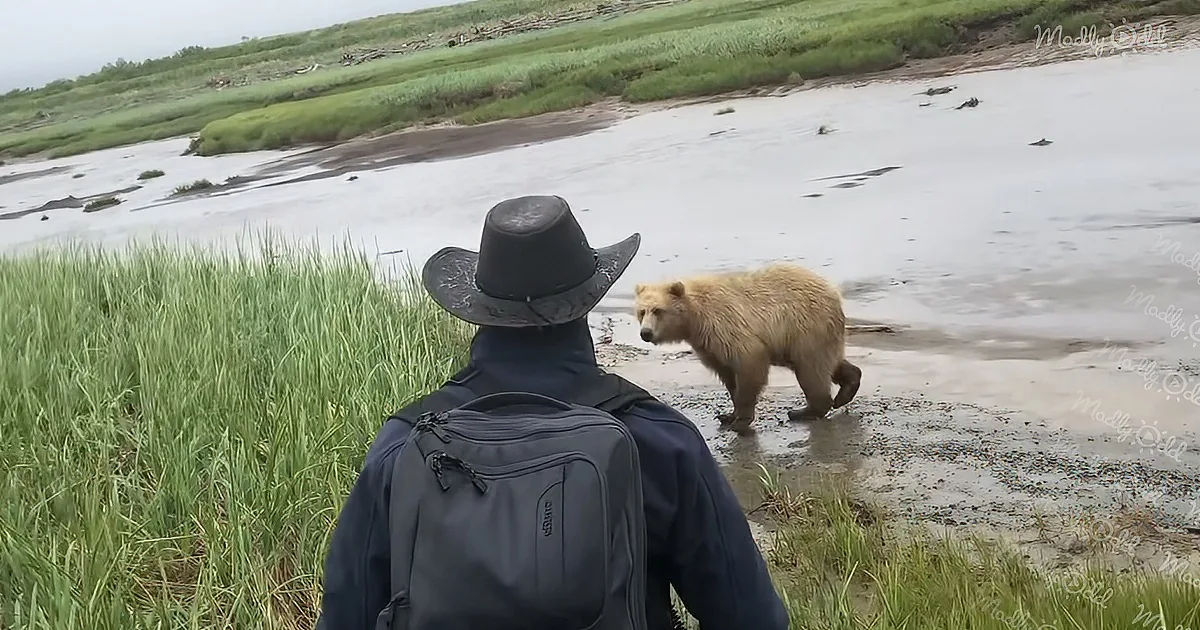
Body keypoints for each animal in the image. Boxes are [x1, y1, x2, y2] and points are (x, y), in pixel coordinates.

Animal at [633, 263, 862, 435]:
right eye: (641, 311)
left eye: (658, 310)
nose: (645, 333)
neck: (694, 319)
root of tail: (834, 292)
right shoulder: (708, 346)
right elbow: (728, 375)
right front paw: (728, 414)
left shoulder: (725, 326)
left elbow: (749, 364)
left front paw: (740, 420)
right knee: (826, 363)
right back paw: (846, 388)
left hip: (806, 326)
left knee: (811, 369)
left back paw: (805, 411)